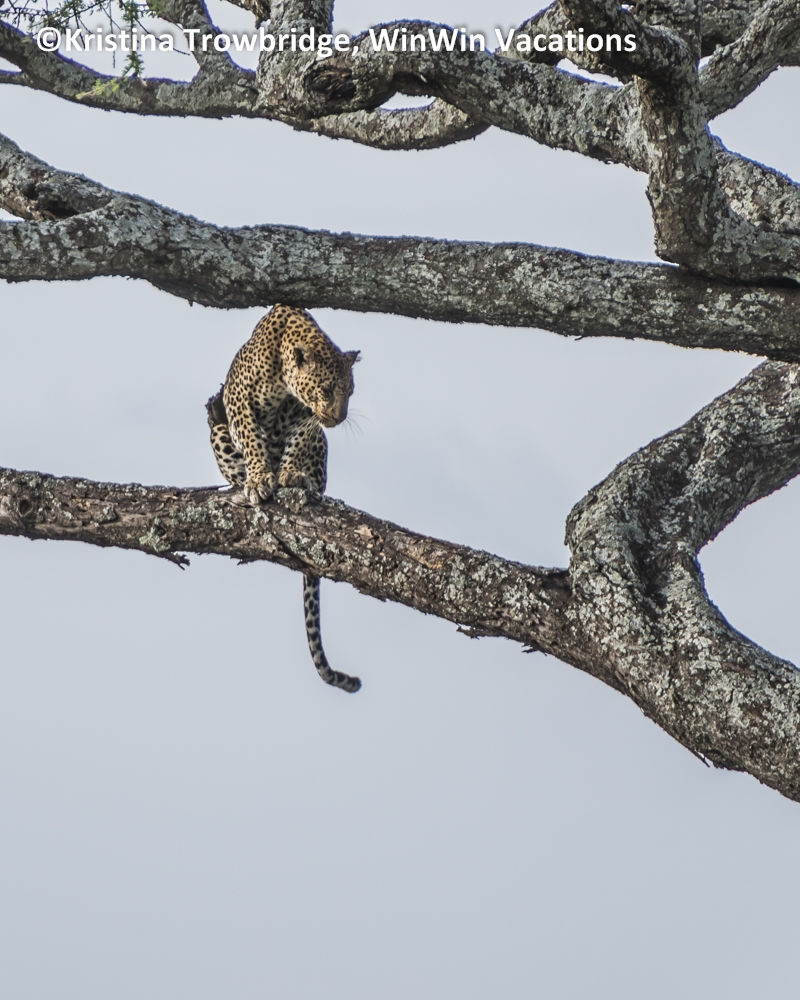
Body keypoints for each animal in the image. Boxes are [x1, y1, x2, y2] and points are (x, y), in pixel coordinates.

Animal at [206, 304, 361, 693]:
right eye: (327, 388)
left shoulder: (307, 419)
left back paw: (303, 483)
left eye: (351, 391)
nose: (339, 418)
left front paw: (288, 474)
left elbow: (299, 437)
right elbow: (251, 437)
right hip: (217, 433)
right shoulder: (239, 401)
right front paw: (261, 479)